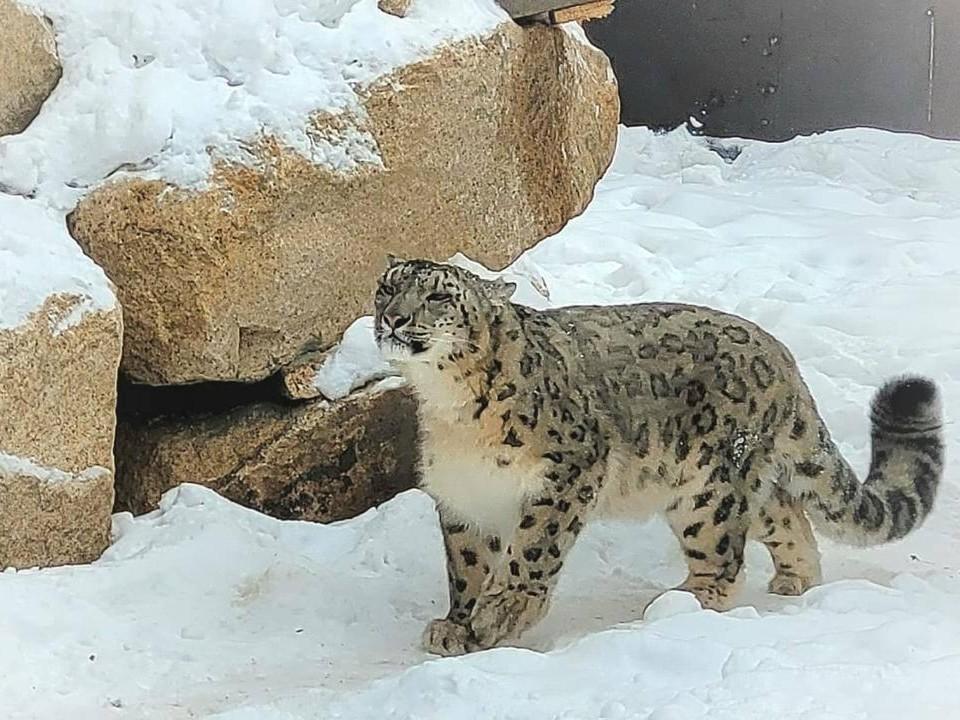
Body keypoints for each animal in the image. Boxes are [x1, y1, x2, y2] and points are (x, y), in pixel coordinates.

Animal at [376, 256, 944, 656]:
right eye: (388, 286)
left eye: (438, 296)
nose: (392, 317)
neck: (449, 405)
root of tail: (780, 355)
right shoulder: (464, 495)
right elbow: (467, 565)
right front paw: (458, 625)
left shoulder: (567, 473)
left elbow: (533, 549)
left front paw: (503, 611)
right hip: (743, 485)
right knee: (788, 513)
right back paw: (795, 579)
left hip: (708, 491)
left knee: (724, 553)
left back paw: (688, 600)